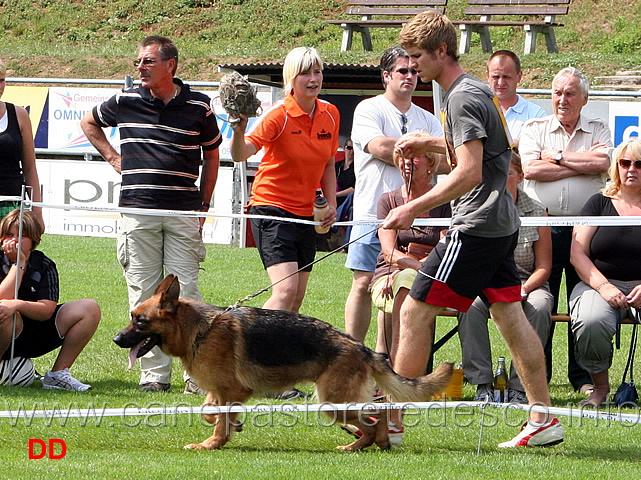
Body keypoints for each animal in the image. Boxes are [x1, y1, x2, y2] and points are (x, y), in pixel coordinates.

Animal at [116, 276, 456, 452]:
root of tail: (360, 346)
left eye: (139, 321)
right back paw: (372, 444)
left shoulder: (228, 391)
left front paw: (213, 443)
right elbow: (210, 412)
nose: (116, 339)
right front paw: (231, 427)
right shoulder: (222, 392)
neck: (200, 330)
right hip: (339, 401)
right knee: (379, 411)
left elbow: (218, 419)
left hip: (333, 402)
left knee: (375, 416)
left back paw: (362, 444)